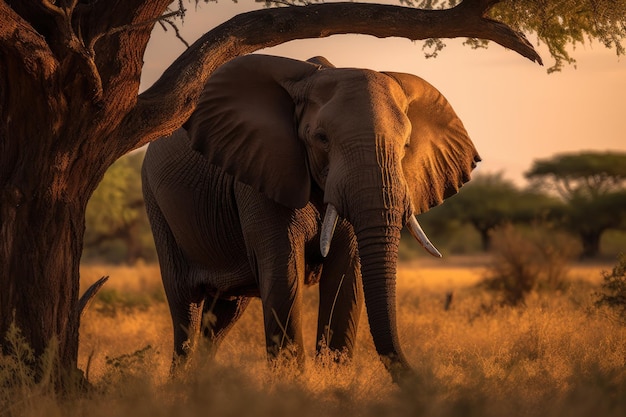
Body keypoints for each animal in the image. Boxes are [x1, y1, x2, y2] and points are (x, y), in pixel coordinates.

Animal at [141, 52, 478, 380]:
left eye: (406, 145)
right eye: (321, 137)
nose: (424, 377)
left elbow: (345, 277)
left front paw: (333, 383)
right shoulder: (261, 172)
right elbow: (283, 273)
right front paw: (294, 386)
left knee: (224, 314)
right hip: (156, 204)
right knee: (186, 308)